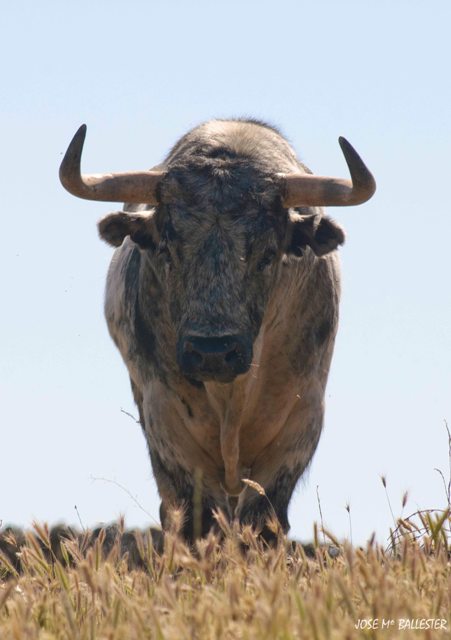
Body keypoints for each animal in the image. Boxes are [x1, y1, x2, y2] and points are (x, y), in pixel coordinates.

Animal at [60, 119, 378, 540]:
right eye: (167, 249)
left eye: (267, 254)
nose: (213, 353)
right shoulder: (167, 427)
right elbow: (200, 521)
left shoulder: (300, 422)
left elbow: (261, 521)